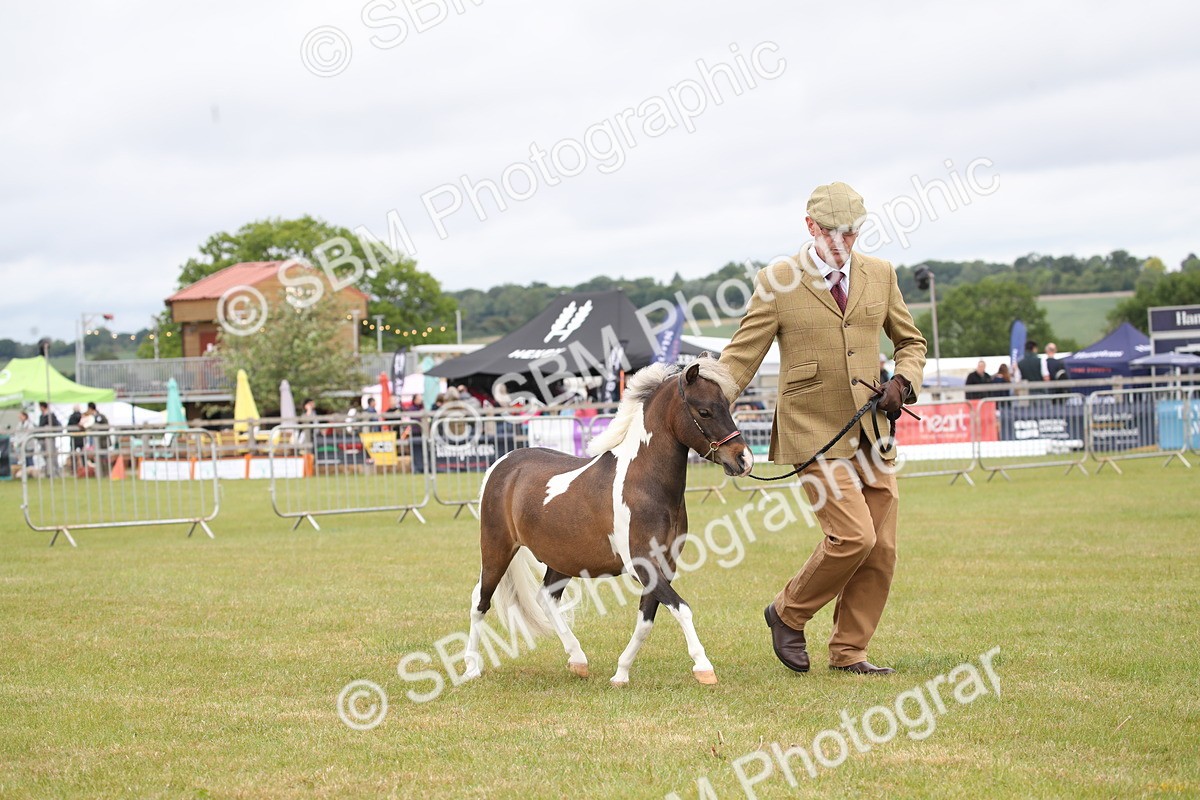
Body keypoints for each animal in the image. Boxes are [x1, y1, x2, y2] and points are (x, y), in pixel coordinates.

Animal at [463, 355, 753, 687]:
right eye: (704, 410)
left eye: (728, 405)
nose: (743, 459)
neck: (644, 484)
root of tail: (502, 463)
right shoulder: (643, 564)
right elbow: (682, 609)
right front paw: (704, 667)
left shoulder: (664, 566)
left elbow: (646, 621)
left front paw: (621, 673)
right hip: (496, 549)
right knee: (480, 601)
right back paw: (471, 668)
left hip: (563, 560)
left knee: (546, 598)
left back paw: (578, 660)